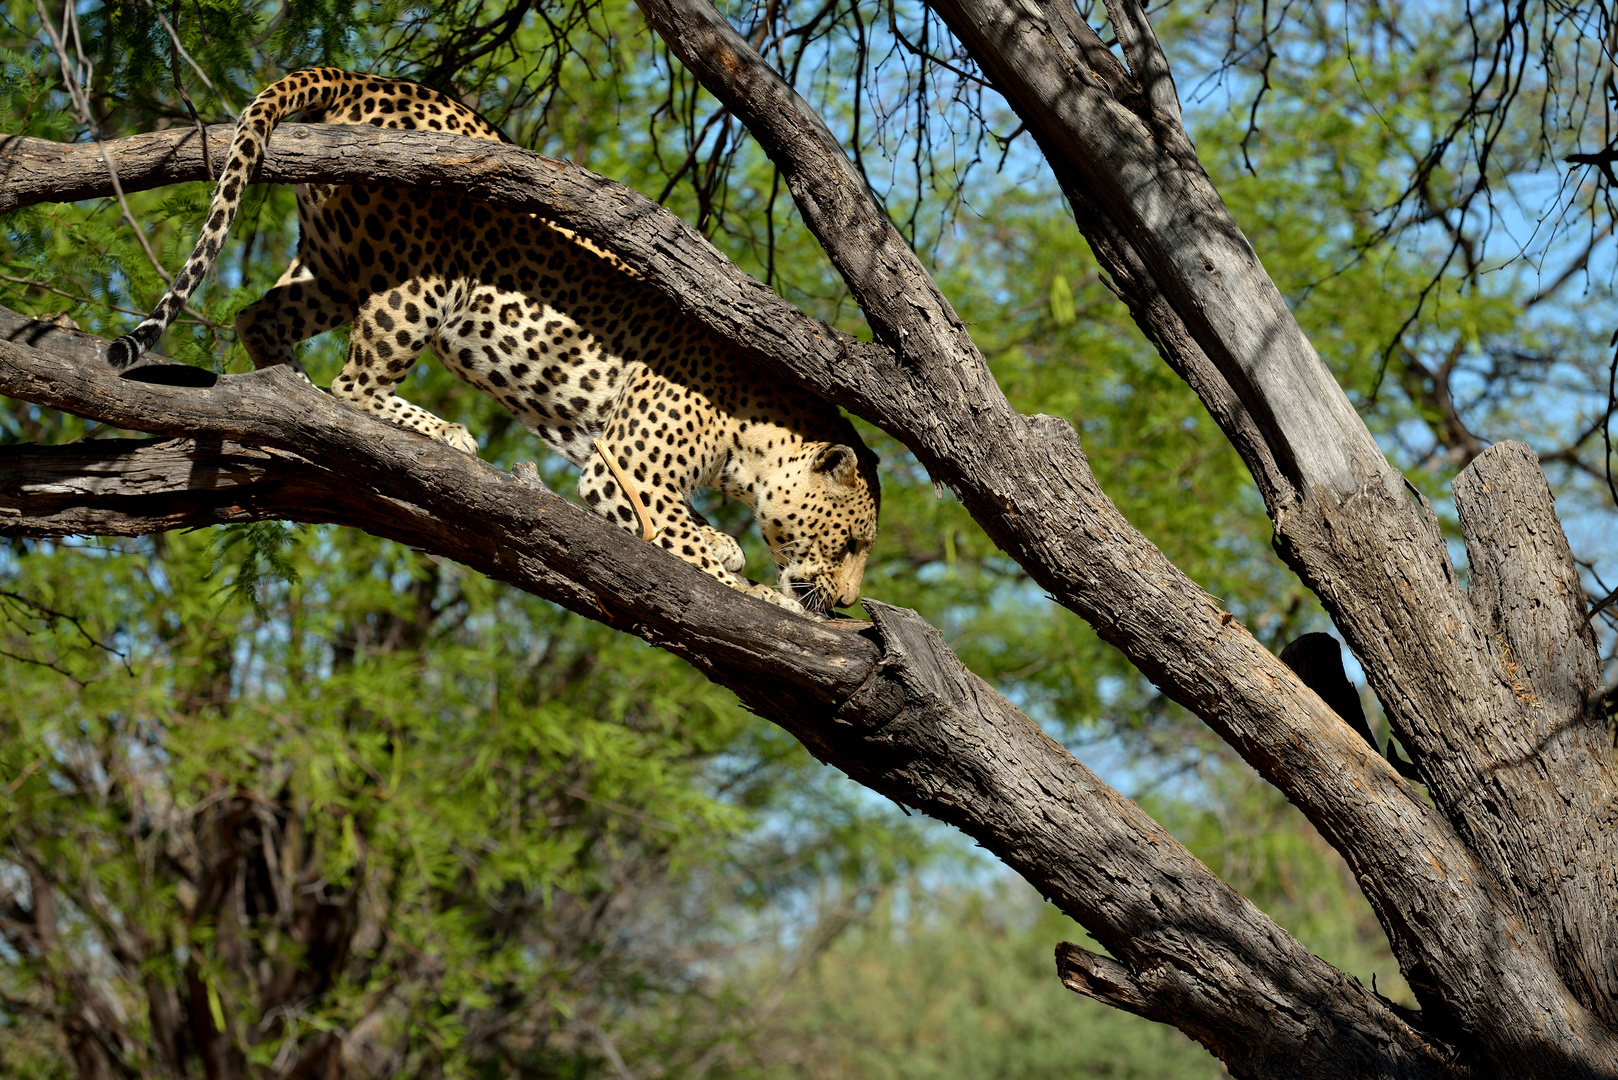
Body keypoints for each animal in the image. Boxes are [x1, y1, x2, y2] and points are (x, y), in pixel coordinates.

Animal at [107, 67, 880, 615]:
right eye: (850, 543)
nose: (847, 604)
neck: (756, 440)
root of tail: (369, 78)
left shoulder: (602, 455)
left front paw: (736, 554)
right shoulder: (629, 469)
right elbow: (689, 546)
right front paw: (753, 582)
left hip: (334, 266)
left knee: (259, 319)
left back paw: (289, 384)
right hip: (421, 280)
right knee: (352, 384)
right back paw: (440, 431)